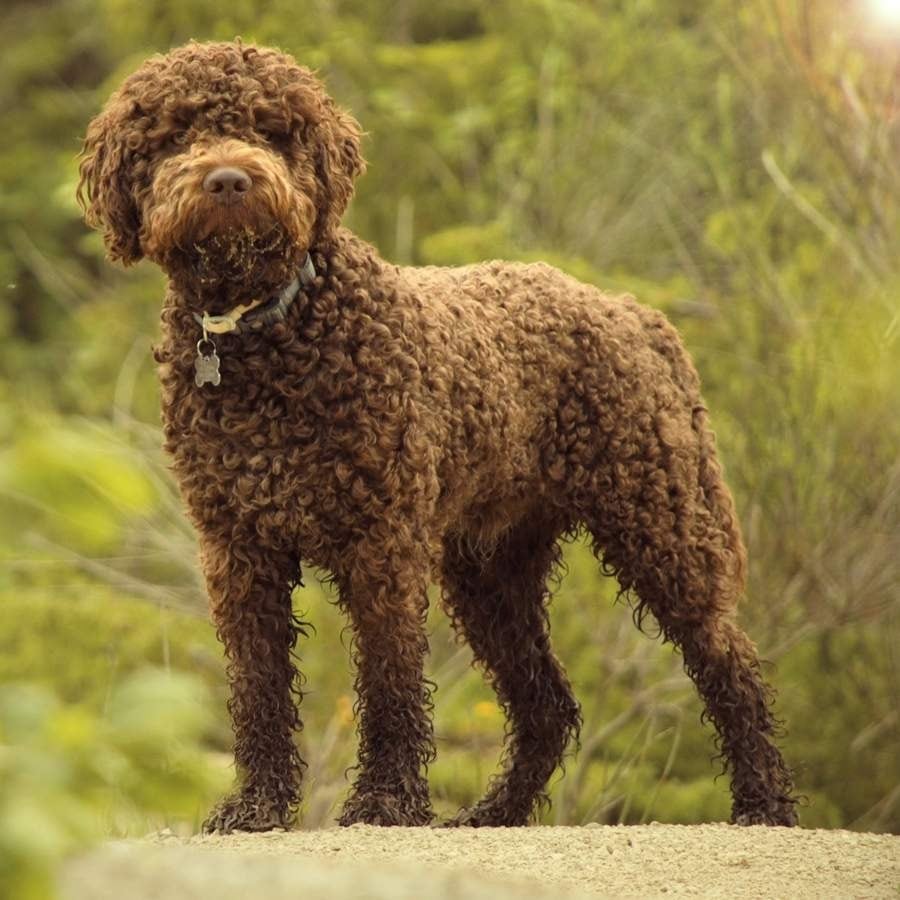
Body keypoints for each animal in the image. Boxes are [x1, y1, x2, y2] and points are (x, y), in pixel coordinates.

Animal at [75, 40, 796, 828]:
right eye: (176, 135)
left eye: (273, 130)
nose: (230, 179)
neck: (271, 336)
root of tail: (631, 310)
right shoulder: (238, 549)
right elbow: (258, 686)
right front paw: (258, 804)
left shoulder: (382, 542)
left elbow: (389, 680)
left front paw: (385, 799)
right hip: (492, 572)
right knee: (547, 704)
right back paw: (496, 812)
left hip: (660, 525)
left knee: (729, 663)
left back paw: (765, 801)